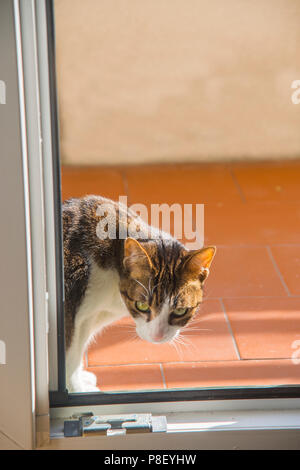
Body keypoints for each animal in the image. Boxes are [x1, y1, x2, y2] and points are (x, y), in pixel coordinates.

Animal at [63, 195, 216, 392]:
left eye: (180, 311)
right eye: (142, 305)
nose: (157, 337)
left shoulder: (89, 319)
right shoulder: (73, 316)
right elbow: (70, 357)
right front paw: (78, 389)